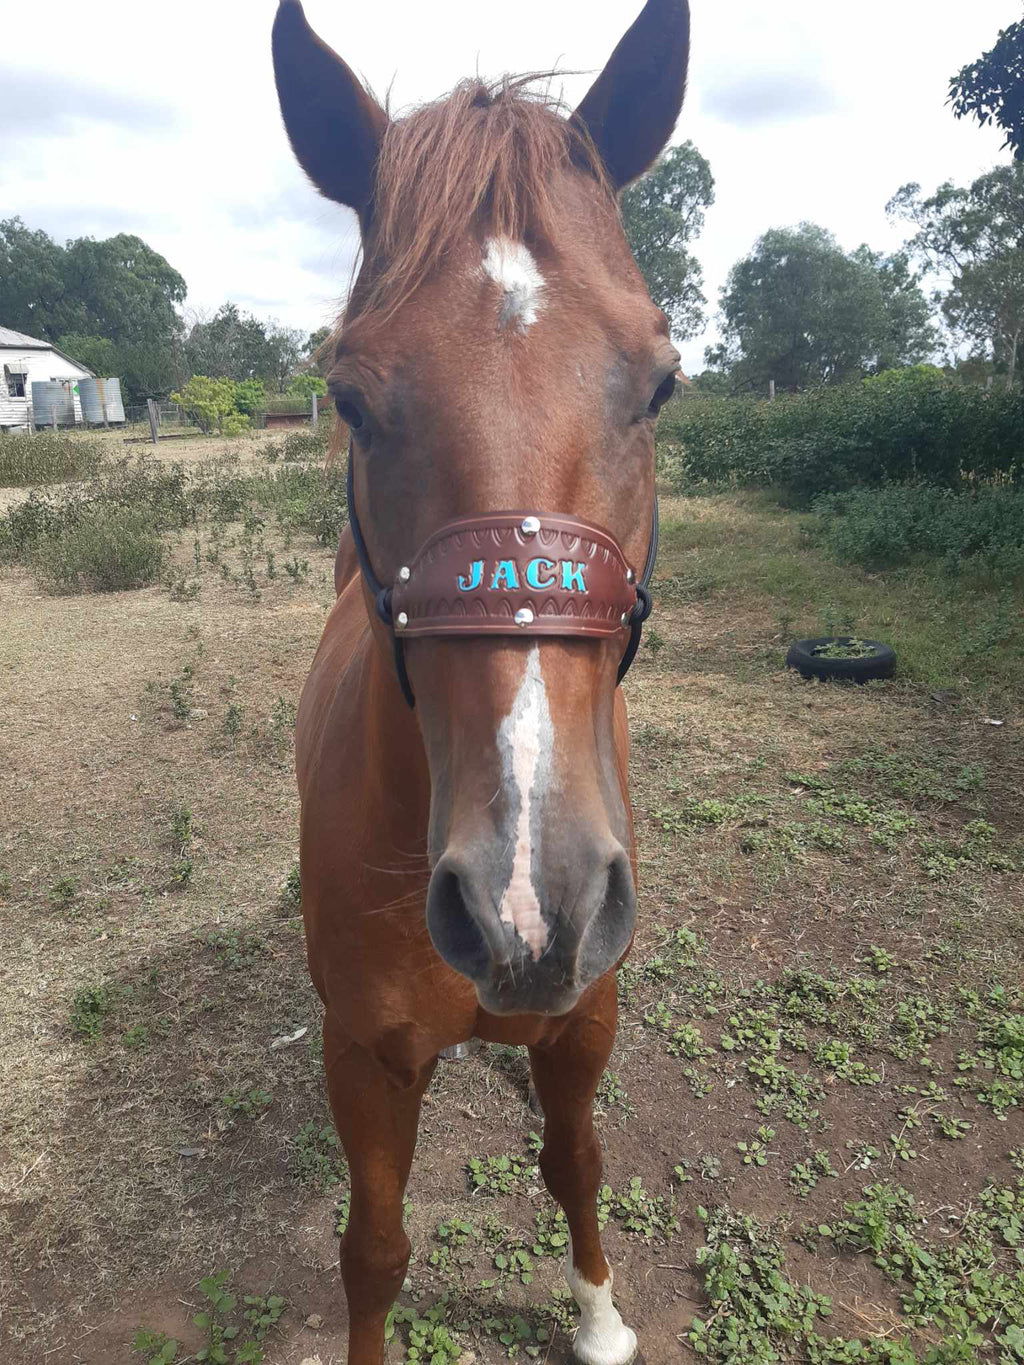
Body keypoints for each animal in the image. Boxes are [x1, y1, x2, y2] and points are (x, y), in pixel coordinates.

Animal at [273, 5, 690, 1359]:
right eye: (349, 396)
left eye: (660, 383)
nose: (530, 903)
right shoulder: (365, 1059)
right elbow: (374, 1251)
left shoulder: (586, 1021)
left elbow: (577, 1162)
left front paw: (599, 1318)